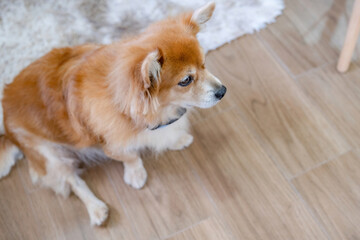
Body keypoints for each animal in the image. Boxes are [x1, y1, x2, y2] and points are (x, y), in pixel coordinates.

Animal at [0, 2, 225, 227]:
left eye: (204, 64)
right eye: (186, 80)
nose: (223, 91)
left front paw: (176, 139)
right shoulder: (109, 145)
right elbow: (130, 155)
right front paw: (135, 173)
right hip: (49, 157)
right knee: (73, 182)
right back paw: (96, 208)